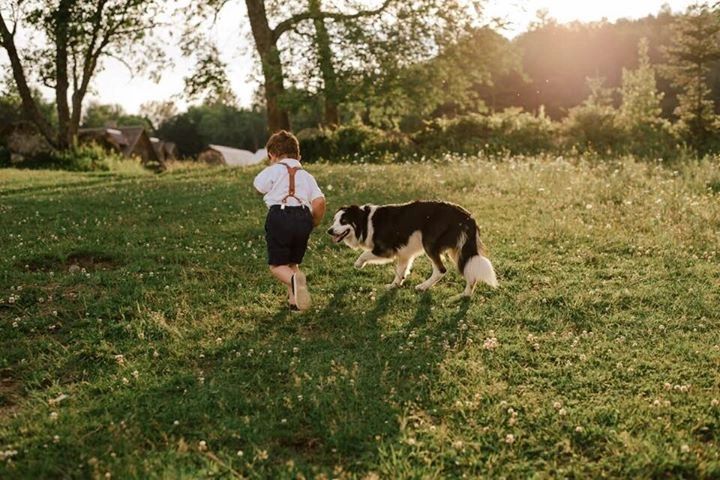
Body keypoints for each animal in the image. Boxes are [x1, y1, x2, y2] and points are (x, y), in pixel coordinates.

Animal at [330, 200, 498, 296]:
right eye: (334, 220)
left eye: (343, 221)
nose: (329, 231)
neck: (365, 221)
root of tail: (467, 216)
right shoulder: (404, 253)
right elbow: (400, 271)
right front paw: (394, 285)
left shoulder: (385, 249)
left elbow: (364, 254)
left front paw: (358, 264)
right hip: (458, 249)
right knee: (469, 271)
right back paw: (466, 295)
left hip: (429, 243)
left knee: (441, 270)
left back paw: (423, 287)